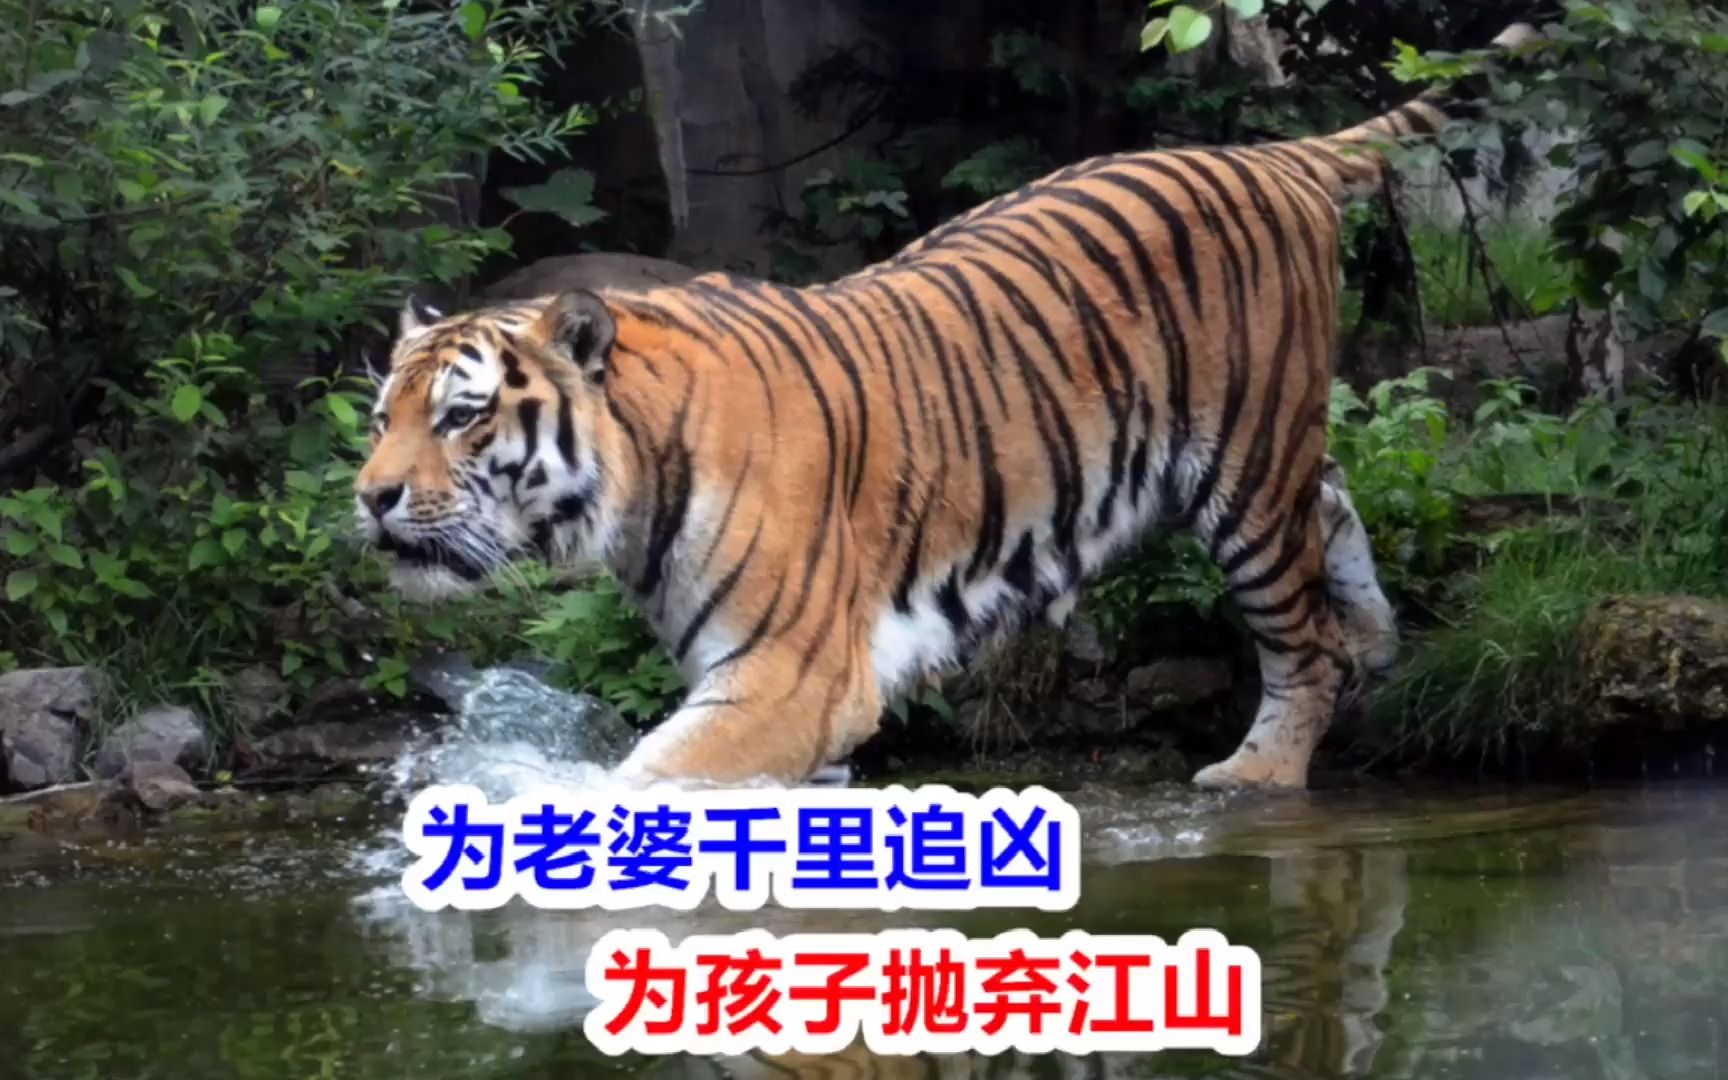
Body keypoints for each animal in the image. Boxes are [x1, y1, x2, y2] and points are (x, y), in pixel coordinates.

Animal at [353, 26, 1535, 792]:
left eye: (460, 416)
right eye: (381, 420)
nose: (370, 498)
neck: (632, 494)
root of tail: (1264, 156)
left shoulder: (790, 679)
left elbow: (640, 785)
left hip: (1242, 470)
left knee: (1302, 640)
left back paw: (1260, 770)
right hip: (1260, 453)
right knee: (1331, 501)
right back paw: (1380, 638)